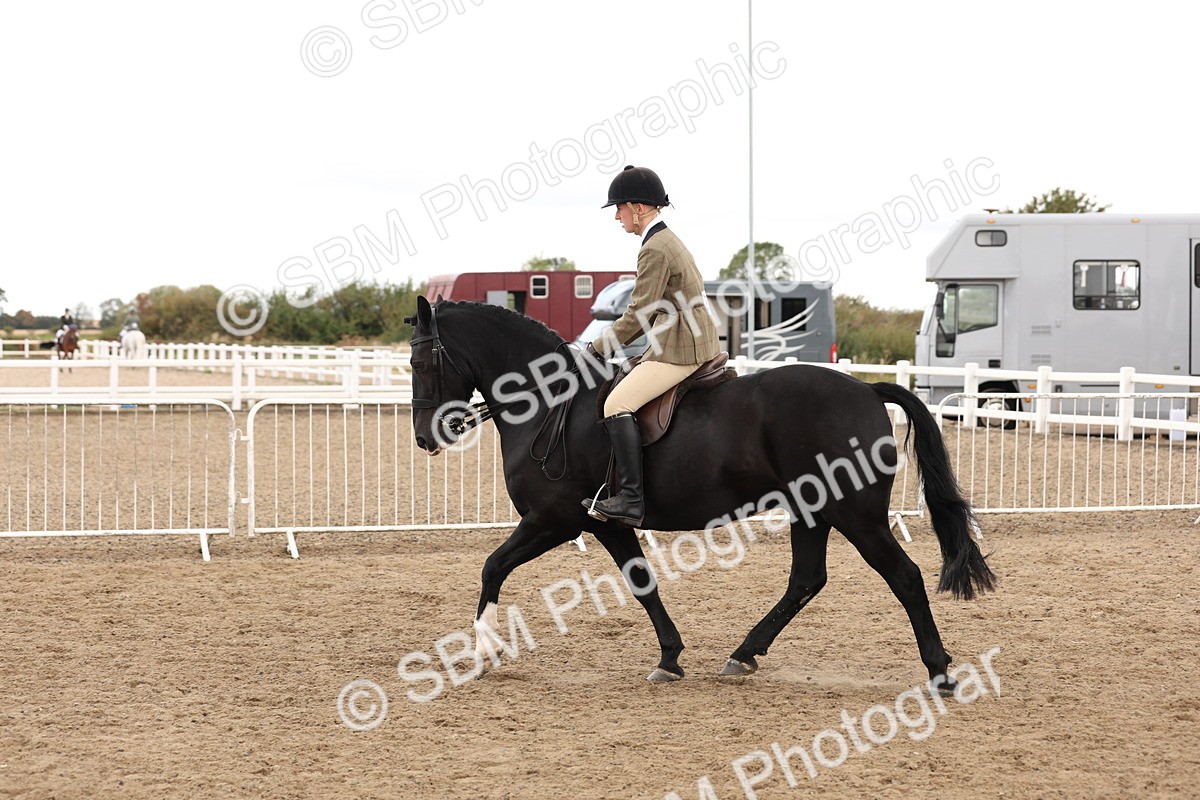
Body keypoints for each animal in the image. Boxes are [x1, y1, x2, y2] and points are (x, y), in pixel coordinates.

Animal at [404, 296, 995, 689]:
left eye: (419, 362)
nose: (426, 438)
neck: (550, 405)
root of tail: (867, 390)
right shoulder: (605, 524)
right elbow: (642, 584)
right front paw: (669, 658)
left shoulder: (554, 520)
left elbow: (492, 567)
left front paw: (485, 649)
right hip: (813, 510)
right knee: (807, 579)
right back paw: (744, 654)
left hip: (857, 516)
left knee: (904, 577)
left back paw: (940, 671)